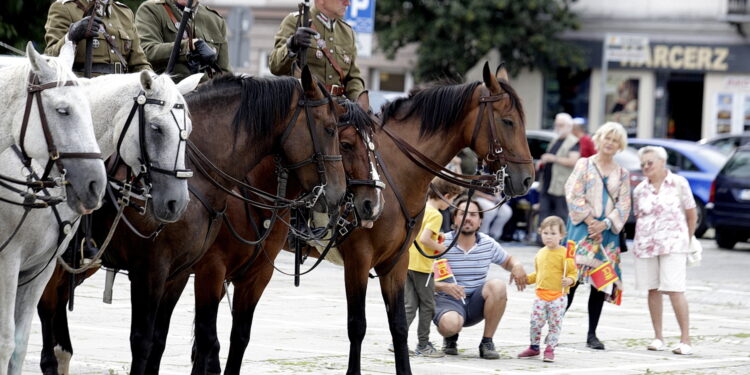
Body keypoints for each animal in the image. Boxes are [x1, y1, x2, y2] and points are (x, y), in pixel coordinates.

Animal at [0, 43, 107, 375]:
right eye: (63, 110)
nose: (96, 184)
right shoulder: (9, 263)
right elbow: (5, 341)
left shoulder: (40, 271)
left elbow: (18, 344)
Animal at [36, 67, 350, 375]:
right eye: (330, 129)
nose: (339, 194)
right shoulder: (163, 270)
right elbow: (152, 340)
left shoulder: (186, 274)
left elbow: (166, 340)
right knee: (45, 308)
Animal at [191, 97, 384, 375]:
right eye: (346, 144)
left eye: (373, 145)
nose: (374, 204)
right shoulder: (211, 269)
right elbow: (206, 336)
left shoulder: (256, 275)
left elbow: (238, 336)